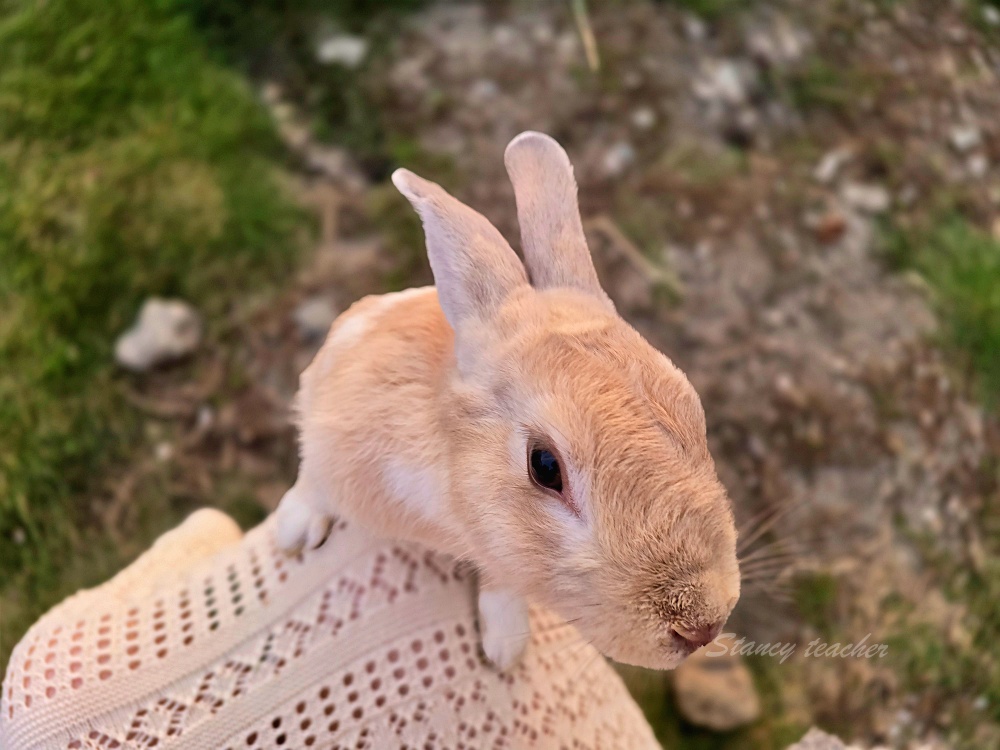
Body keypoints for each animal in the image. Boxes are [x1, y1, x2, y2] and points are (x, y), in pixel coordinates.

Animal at [276, 132, 744, 672]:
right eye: (545, 465)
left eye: (694, 411)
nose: (702, 626)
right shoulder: (328, 433)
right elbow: (312, 479)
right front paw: (291, 534)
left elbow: (502, 583)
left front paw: (503, 648)